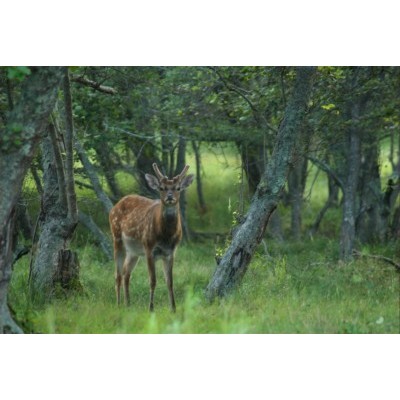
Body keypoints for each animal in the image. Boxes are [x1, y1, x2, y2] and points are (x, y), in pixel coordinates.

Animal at [109, 162, 194, 312]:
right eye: (161, 188)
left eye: (178, 188)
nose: (170, 196)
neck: (166, 236)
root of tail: (114, 206)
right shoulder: (149, 248)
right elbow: (153, 281)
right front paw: (151, 308)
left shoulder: (171, 252)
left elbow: (170, 281)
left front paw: (173, 308)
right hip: (117, 237)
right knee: (117, 274)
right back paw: (119, 304)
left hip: (133, 251)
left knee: (126, 273)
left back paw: (128, 303)